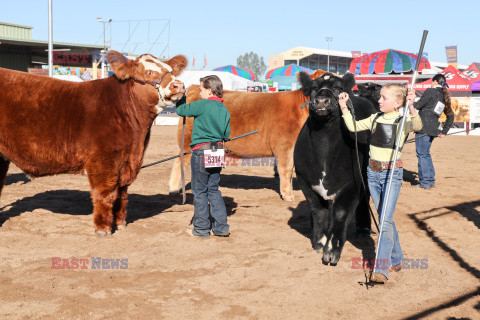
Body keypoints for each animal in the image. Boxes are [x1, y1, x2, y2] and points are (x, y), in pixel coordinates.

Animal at [0, 50, 188, 235]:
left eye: (170, 70)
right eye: (148, 72)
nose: (178, 85)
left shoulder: (126, 164)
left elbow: (122, 195)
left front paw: (121, 224)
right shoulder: (103, 161)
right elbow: (105, 195)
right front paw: (103, 229)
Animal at [171, 85, 310, 200]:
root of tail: (194, 88)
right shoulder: (285, 147)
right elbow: (286, 170)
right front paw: (288, 195)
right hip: (186, 144)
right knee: (179, 163)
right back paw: (174, 189)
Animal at [294, 72, 376, 264]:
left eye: (338, 88)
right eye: (314, 89)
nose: (322, 101)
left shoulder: (353, 182)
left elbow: (340, 213)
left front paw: (332, 249)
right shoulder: (304, 180)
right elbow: (317, 210)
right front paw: (319, 241)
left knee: (364, 201)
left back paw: (363, 229)